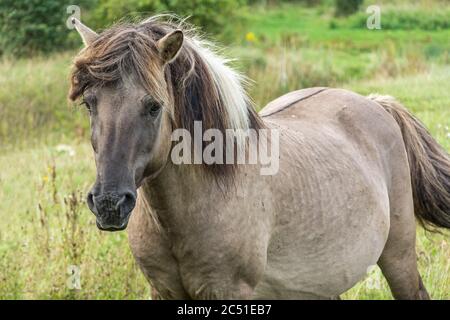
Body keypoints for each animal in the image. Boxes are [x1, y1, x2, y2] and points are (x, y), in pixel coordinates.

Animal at [68, 15, 448, 300]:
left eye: (153, 106)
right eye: (89, 103)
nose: (109, 203)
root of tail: (376, 103)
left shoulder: (231, 290)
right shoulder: (163, 290)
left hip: (398, 257)